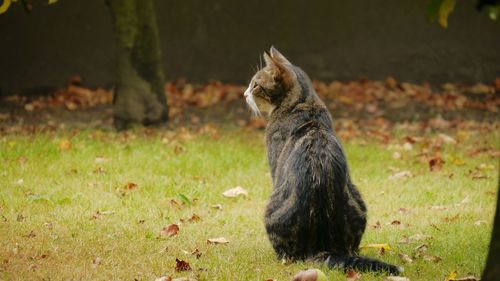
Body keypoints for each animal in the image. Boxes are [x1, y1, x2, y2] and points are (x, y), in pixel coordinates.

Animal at [244, 46, 404, 274]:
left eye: (256, 84)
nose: (244, 94)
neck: (303, 101)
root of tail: (320, 247)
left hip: (272, 208)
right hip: (358, 201)